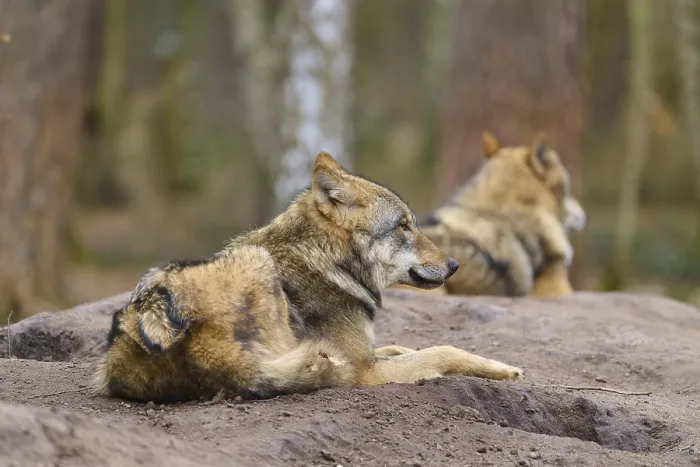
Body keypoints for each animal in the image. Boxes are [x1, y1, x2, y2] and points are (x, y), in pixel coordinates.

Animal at [94, 151, 522, 403]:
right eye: (404, 226)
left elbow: (401, 346)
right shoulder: (365, 370)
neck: (328, 262)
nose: (454, 265)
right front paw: (503, 369)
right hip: (254, 266)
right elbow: (442, 351)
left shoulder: (363, 352)